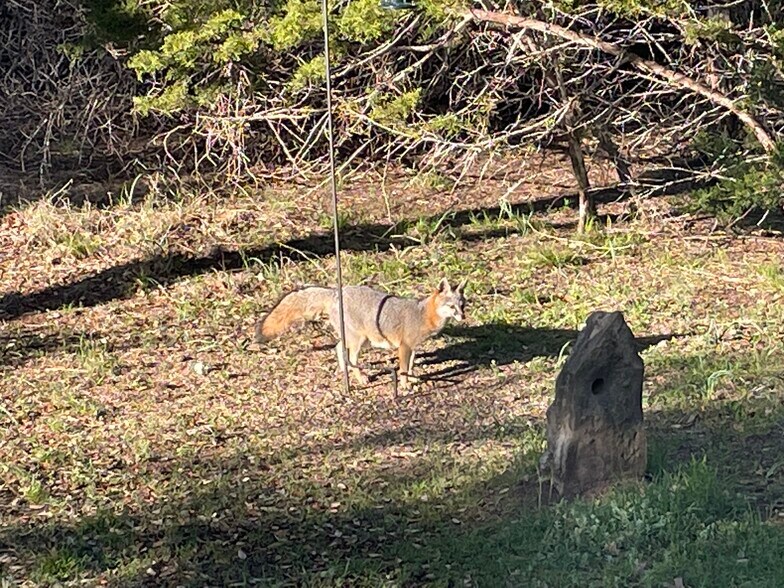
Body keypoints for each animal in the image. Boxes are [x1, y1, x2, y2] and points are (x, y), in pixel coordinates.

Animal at [254, 278, 467, 389]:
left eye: (462, 305)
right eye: (451, 307)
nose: (463, 316)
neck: (423, 314)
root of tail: (336, 291)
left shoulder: (413, 347)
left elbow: (411, 366)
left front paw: (413, 379)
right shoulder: (404, 347)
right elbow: (403, 369)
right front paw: (405, 385)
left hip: (361, 340)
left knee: (338, 348)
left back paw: (345, 371)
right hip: (359, 341)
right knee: (350, 357)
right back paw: (359, 377)